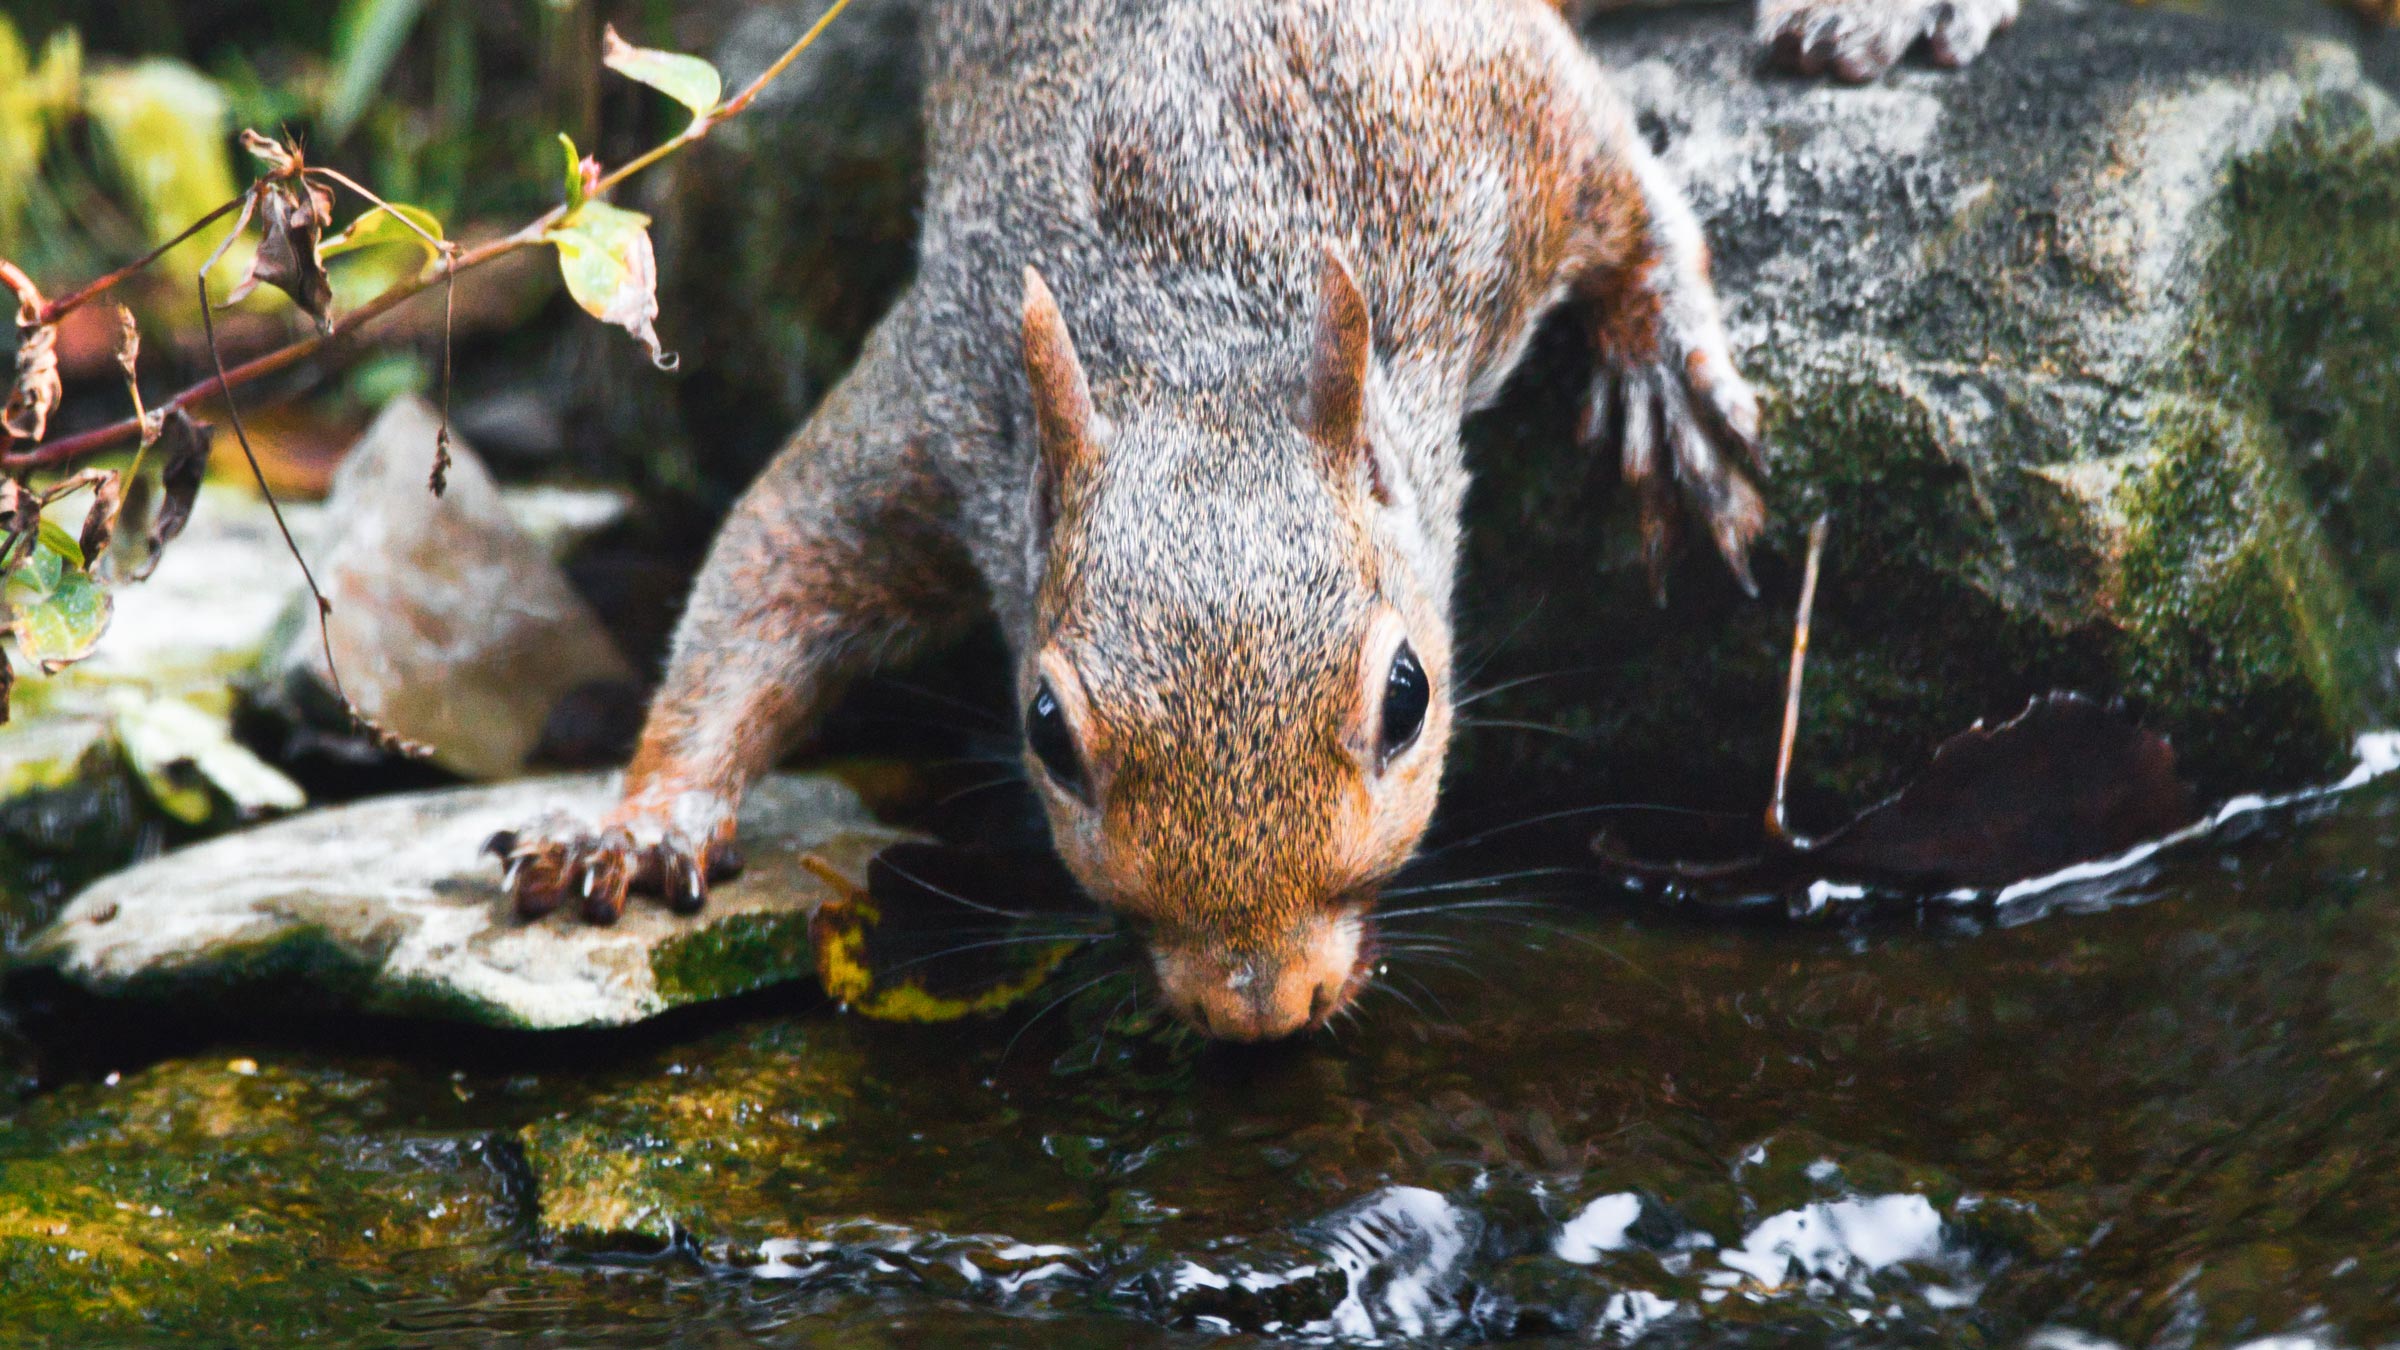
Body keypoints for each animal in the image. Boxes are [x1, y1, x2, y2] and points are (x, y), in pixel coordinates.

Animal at [494, 0, 1776, 1040]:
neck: (1195, 333)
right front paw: (640, 828)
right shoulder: (944, 408)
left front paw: (1669, 367)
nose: (1260, 1006)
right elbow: (769, 572)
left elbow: (1616, 178)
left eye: (1408, 698)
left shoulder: (1478, 125)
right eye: (1047, 732)